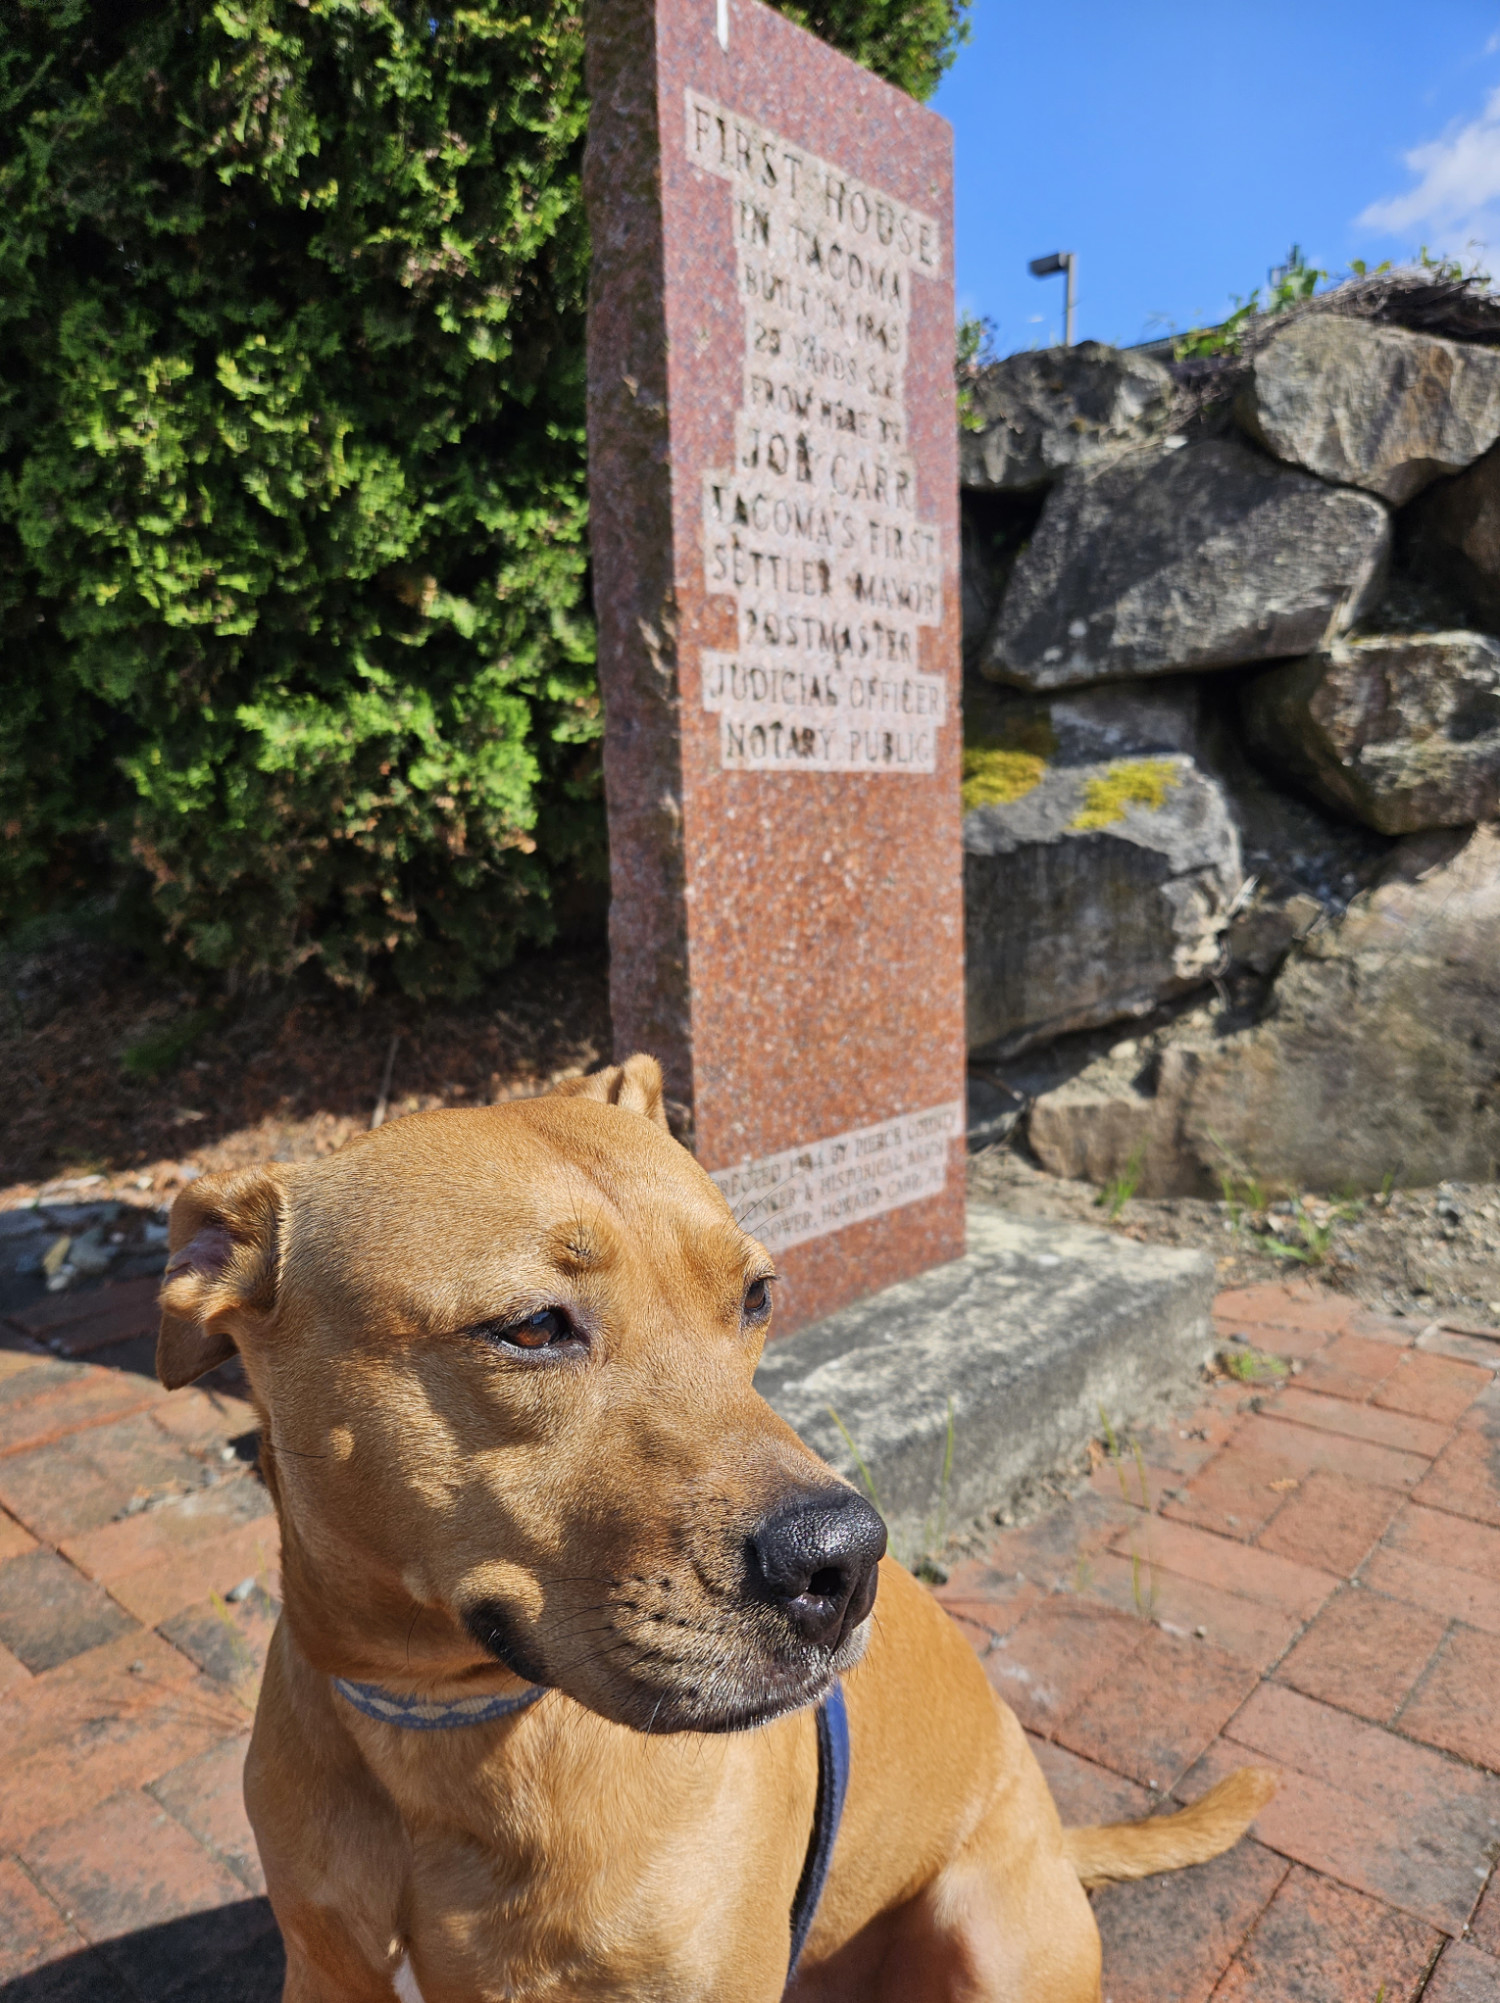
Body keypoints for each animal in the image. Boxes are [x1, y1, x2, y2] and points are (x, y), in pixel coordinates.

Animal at [158, 1057, 1273, 1994]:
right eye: (532, 1326)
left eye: (756, 1294)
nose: (844, 1561)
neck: (442, 1728)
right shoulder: (327, 1968)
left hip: (988, 1932)